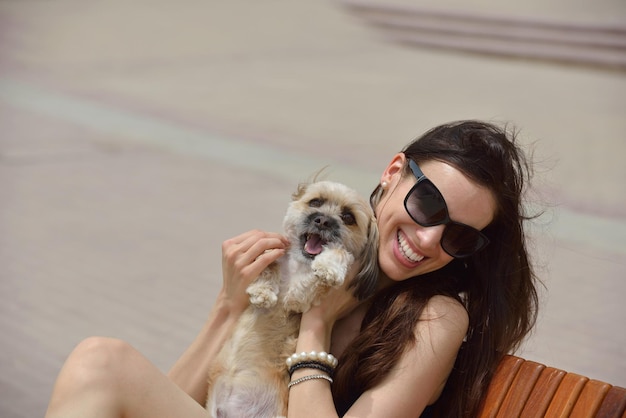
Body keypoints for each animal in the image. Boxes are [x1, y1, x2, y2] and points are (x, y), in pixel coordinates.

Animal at [207, 180, 378, 418]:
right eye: (315, 202)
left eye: (348, 217)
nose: (323, 220)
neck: (299, 264)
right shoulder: (276, 254)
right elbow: (270, 263)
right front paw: (262, 292)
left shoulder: (302, 298)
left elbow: (335, 259)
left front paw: (328, 267)